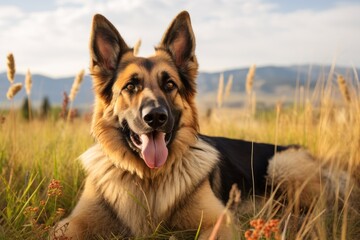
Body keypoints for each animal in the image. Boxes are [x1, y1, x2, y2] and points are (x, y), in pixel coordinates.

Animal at [54, 10, 352, 238]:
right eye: (131, 86)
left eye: (170, 84)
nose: (156, 117)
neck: (149, 181)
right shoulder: (70, 224)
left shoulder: (219, 221)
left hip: (281, 164)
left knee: (318, 212)